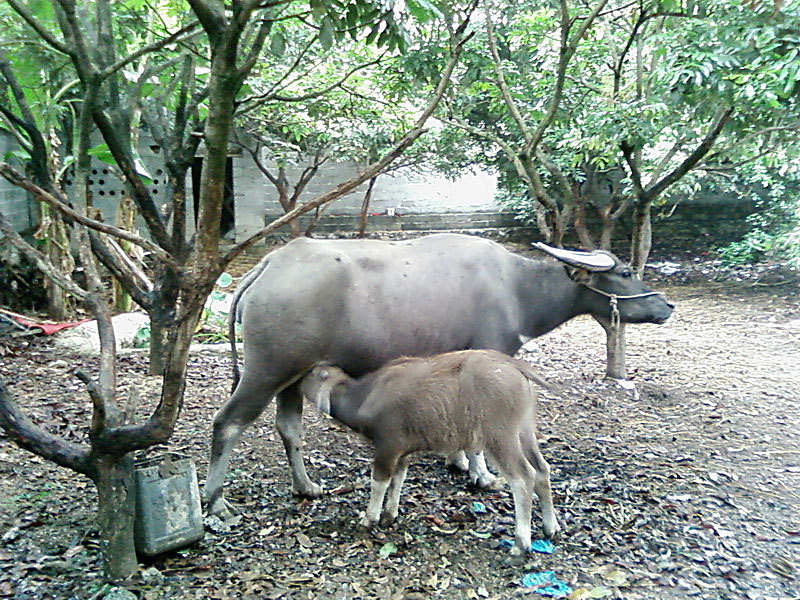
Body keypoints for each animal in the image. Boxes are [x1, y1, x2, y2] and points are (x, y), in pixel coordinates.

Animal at [203, 234, 672, 516]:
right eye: (626, 272)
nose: (666, 306)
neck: (516, 289)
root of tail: (269, 264)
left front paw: (457, 461)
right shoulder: (489, 354)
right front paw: (482, 475)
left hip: (294, 375)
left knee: (288, 427)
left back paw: (306, 487)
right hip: (267, 370)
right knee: (228, 424)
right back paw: (216, 502)